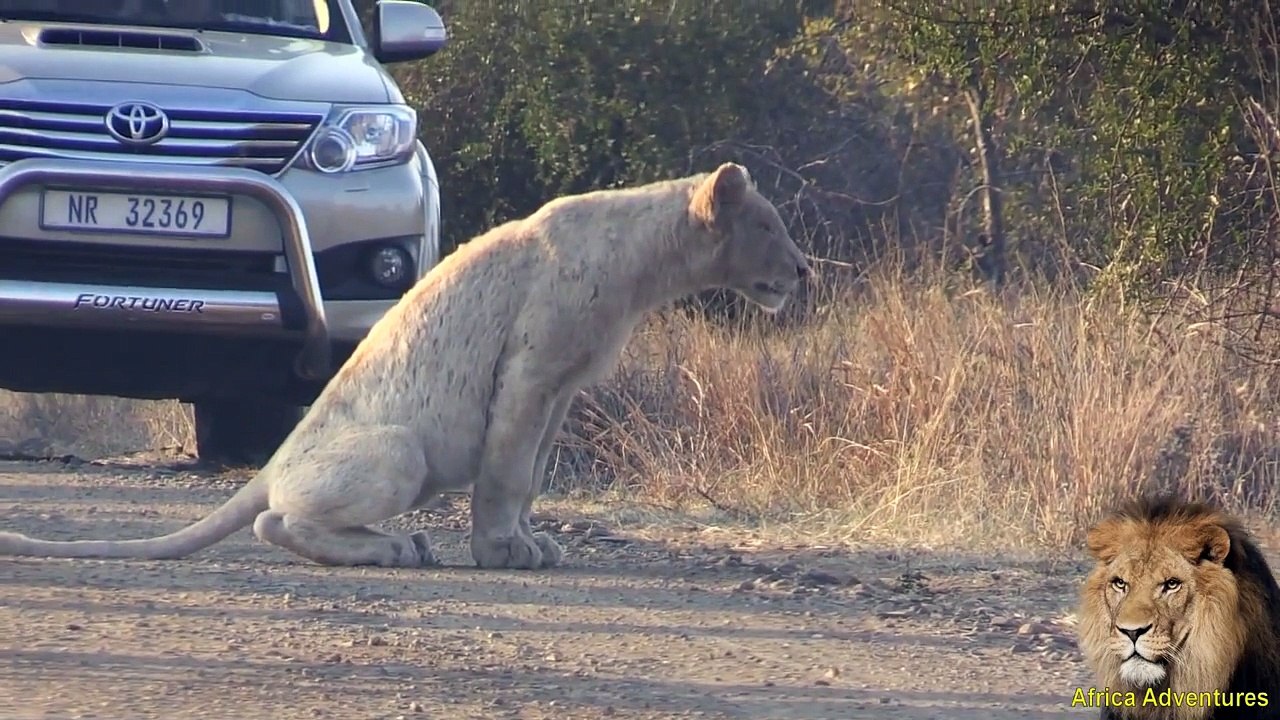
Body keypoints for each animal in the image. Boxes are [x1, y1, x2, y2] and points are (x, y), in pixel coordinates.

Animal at [0, 162, 809, 570]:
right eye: (768, 224)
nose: (803, 270)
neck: (644, 263)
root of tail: (274, 460)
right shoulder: (529, 370)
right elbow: (507, 471)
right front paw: (503, 552)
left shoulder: (563, 388)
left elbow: (534, 474)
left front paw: (533, 540)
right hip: (397, 451)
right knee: (272, 518)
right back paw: (395, 547)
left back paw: (405, 543)